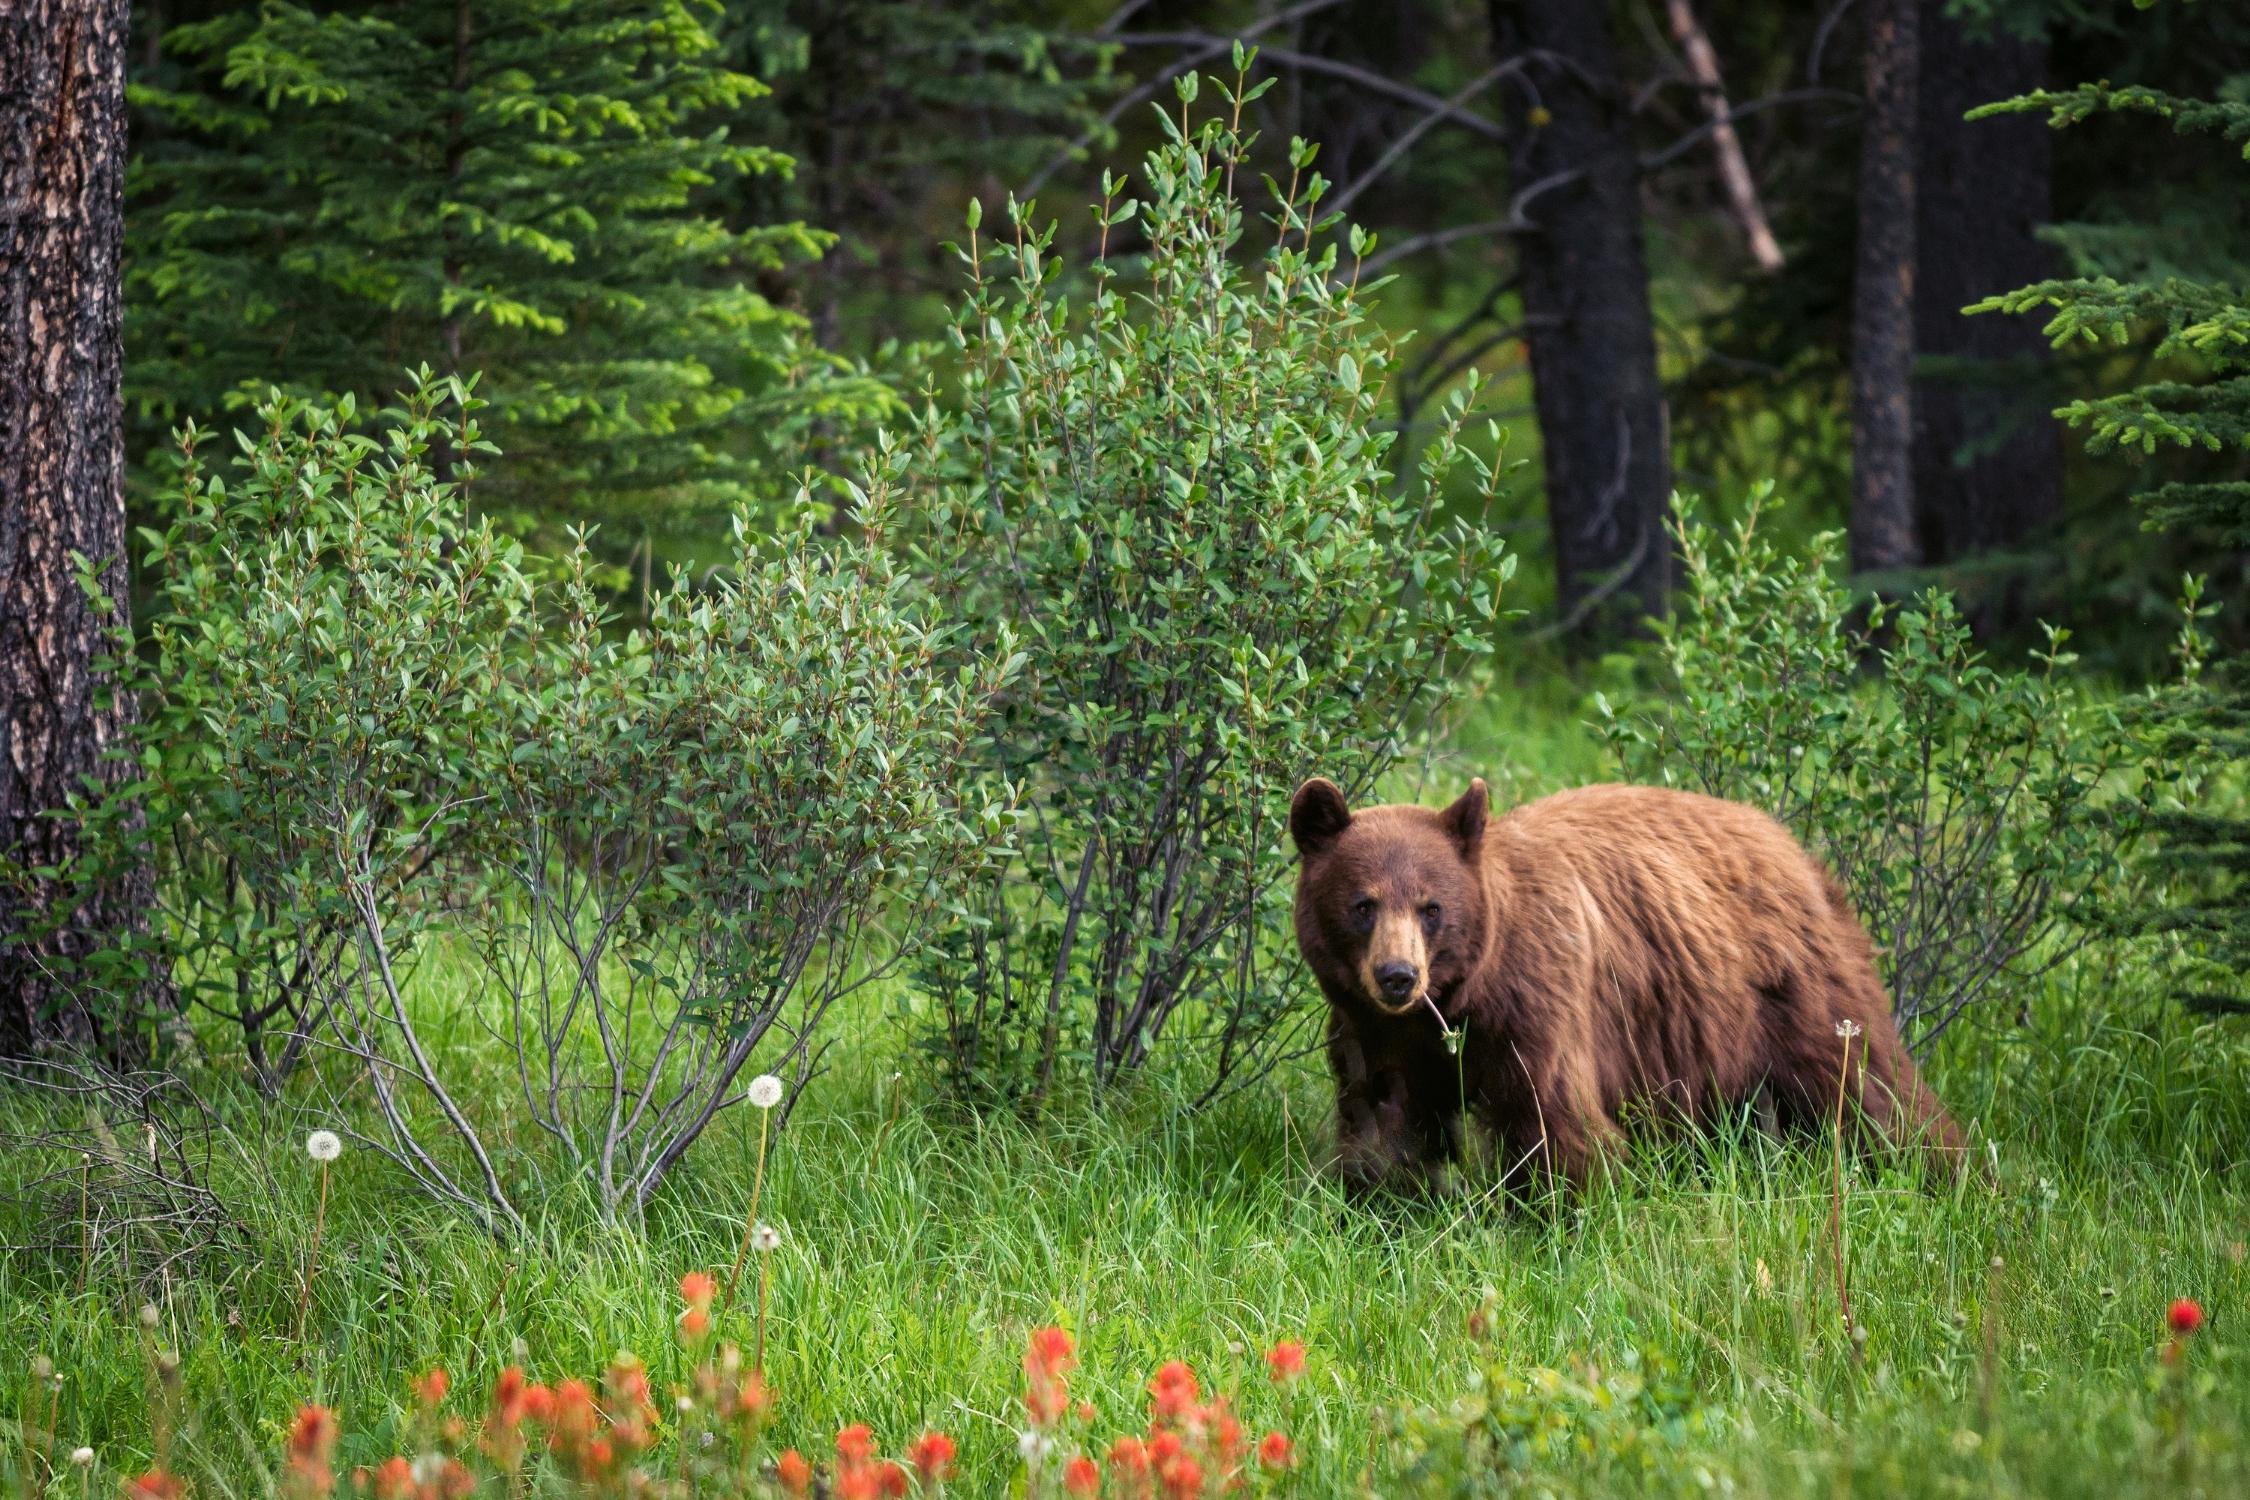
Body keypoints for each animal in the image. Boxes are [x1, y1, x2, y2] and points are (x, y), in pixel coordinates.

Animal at [1296, 773, 1962, 1196]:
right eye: (1363, 905)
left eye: (1431, 907)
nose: (1397, 976)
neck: (1458, 997)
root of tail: (1796, 849)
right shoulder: (1377, 1034)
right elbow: (1384, 1122)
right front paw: (1378, 1206)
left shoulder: (1537, 1002)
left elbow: (1554, 1118)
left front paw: (1561, 1219)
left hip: (1795, 988)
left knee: (1869, 1085)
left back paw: (1943, 1173)